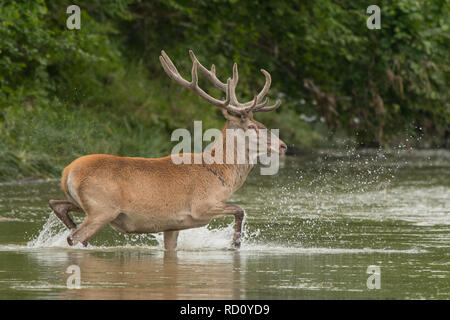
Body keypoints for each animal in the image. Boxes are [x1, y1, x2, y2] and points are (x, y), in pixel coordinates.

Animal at [49, 50, 286, 250]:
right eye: (253, 126)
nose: (283, 145)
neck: (220, 174)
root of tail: (67, 172)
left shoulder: (172, 225)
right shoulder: (201, 206)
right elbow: (240, 209)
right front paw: (235, 244)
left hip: (89, 206)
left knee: (57, 205)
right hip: (102, 208)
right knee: (74, 236)